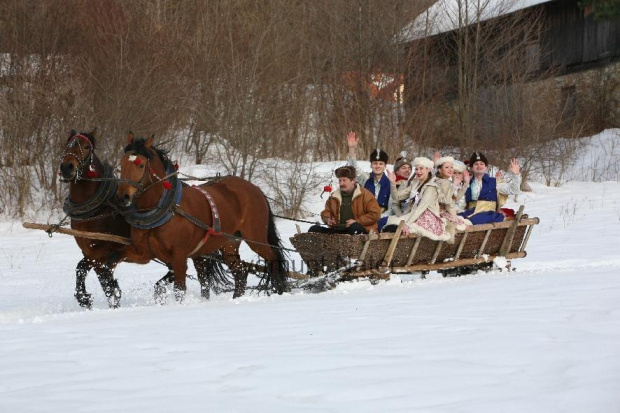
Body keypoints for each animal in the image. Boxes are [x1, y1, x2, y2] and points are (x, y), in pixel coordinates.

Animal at [57, 129, 228, 306]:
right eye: (66, 145)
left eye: (86, 147)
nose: (67, 167)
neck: (98, 210)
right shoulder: (91, 253)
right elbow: (90, 274)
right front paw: (90, 298)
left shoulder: (102, 251)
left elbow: (93, 274)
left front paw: (97, 296)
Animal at [115, 134, 288, 298]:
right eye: (121, 164)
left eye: (141, 165)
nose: (122, 197)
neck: (166, 208)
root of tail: (255, 189)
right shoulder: (144, 252)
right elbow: (116, 259)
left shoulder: (179, 257)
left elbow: (179, 290)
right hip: (229, 243)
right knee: (240, 272)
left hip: (256, 239)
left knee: (274, 260)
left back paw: (279, 290)